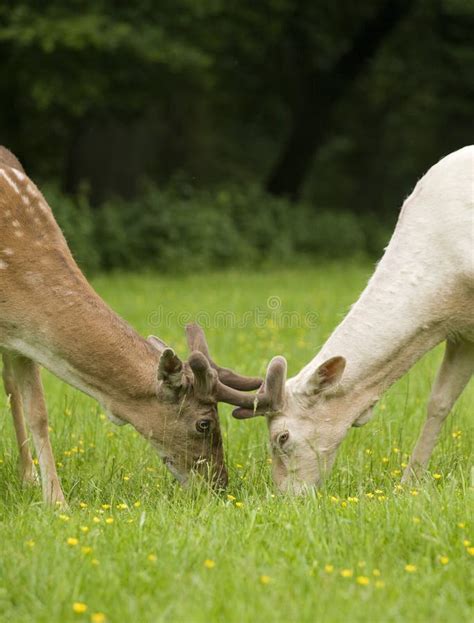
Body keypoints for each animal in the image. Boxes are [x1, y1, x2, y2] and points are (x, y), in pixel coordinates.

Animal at [0, 146, 260, 502]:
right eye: (204, 423)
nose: (219, 486)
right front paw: (56, 500)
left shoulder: (22, 339)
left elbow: (37, 413)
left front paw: (54, 500)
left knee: (11, 389)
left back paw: (26, 477)